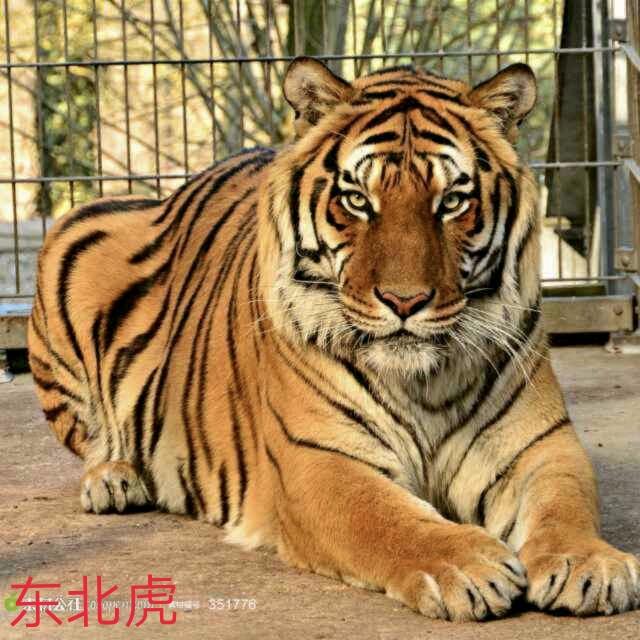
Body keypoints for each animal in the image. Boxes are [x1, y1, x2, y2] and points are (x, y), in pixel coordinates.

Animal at [28, 56, 639, 621]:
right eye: (358, 201)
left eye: (451, 202)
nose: (404, 301)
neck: (424, 381)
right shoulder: (318, 460)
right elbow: (388, 518)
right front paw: (470, 565)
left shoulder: (540, 445)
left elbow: (566, 503)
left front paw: (587, 563)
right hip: (75, 237)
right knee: (92, 440)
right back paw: (114, 480)